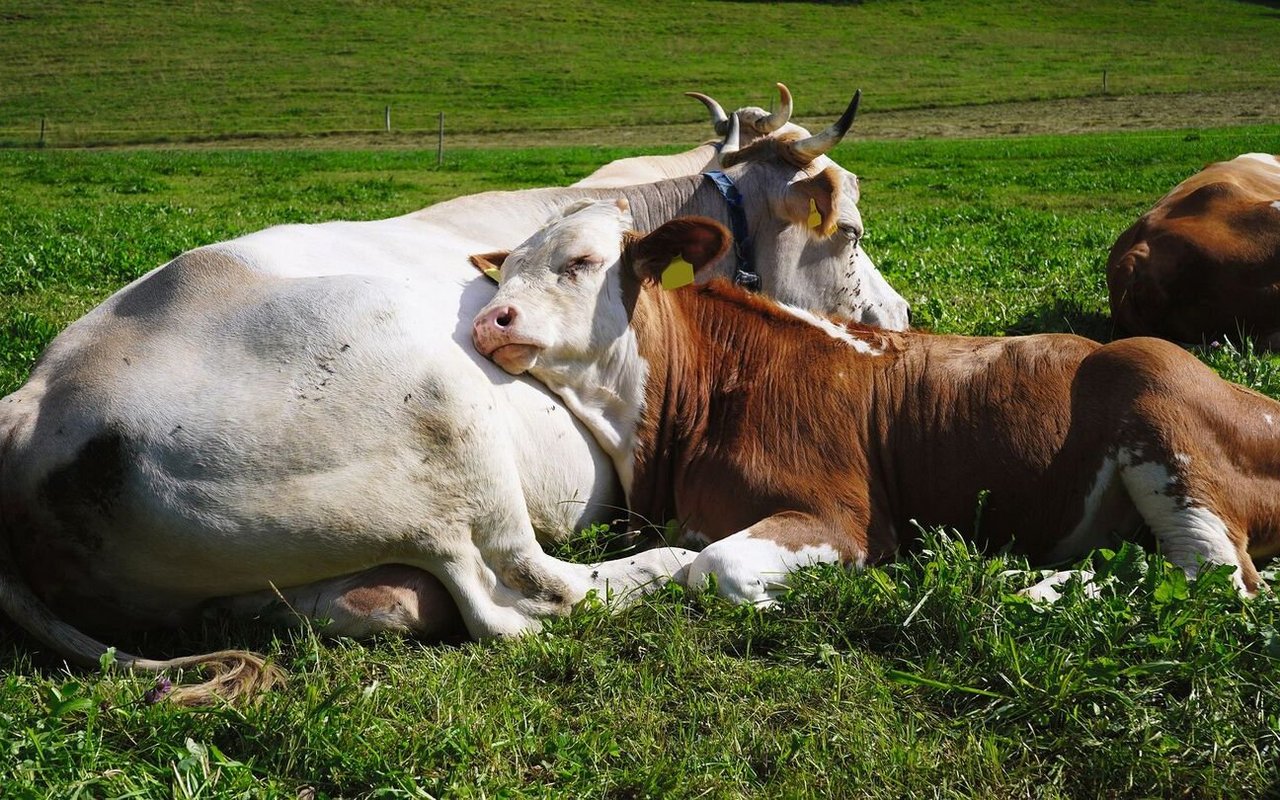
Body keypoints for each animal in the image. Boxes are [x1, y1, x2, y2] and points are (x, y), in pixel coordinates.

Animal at [0, 95, 901, 706]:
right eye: (851, 231)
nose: (899, 319)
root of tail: (33, 404)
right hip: (446, 423)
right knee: (530, 595)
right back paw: (667, 562)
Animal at [476, 202, 1280, 601]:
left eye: (580, 263)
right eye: (504, 273)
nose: (490, 321)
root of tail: (1255, 400)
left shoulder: (848, 516)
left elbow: (716, 567)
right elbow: (639, 568)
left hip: (1156, 395)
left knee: (1217, 578)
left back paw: (1031, 592)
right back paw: (1025, 578)